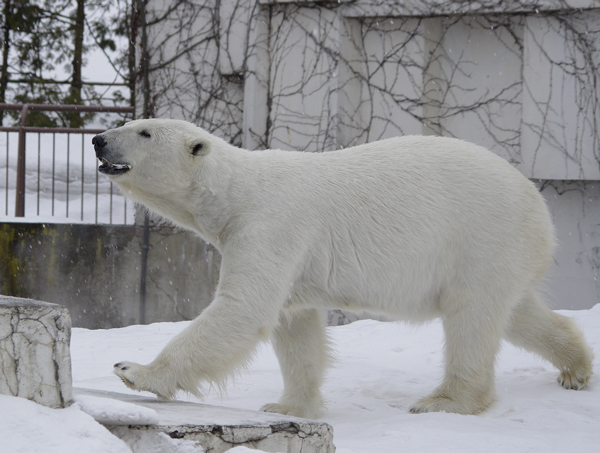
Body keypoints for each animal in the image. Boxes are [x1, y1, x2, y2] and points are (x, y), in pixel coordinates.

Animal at [91, 118, 592, 414]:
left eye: (144, 132)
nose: (97, 139)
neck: (235, 191)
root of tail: (540, 206)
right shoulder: (284, 251)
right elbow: (295, 328)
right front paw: (289, 407)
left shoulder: (270, 225)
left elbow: (243, 309)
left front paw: (135, 370)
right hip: (504, 253)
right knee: (517, 314)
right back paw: (576, 367)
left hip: (481, 236)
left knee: (472, 319)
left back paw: (444, 401)